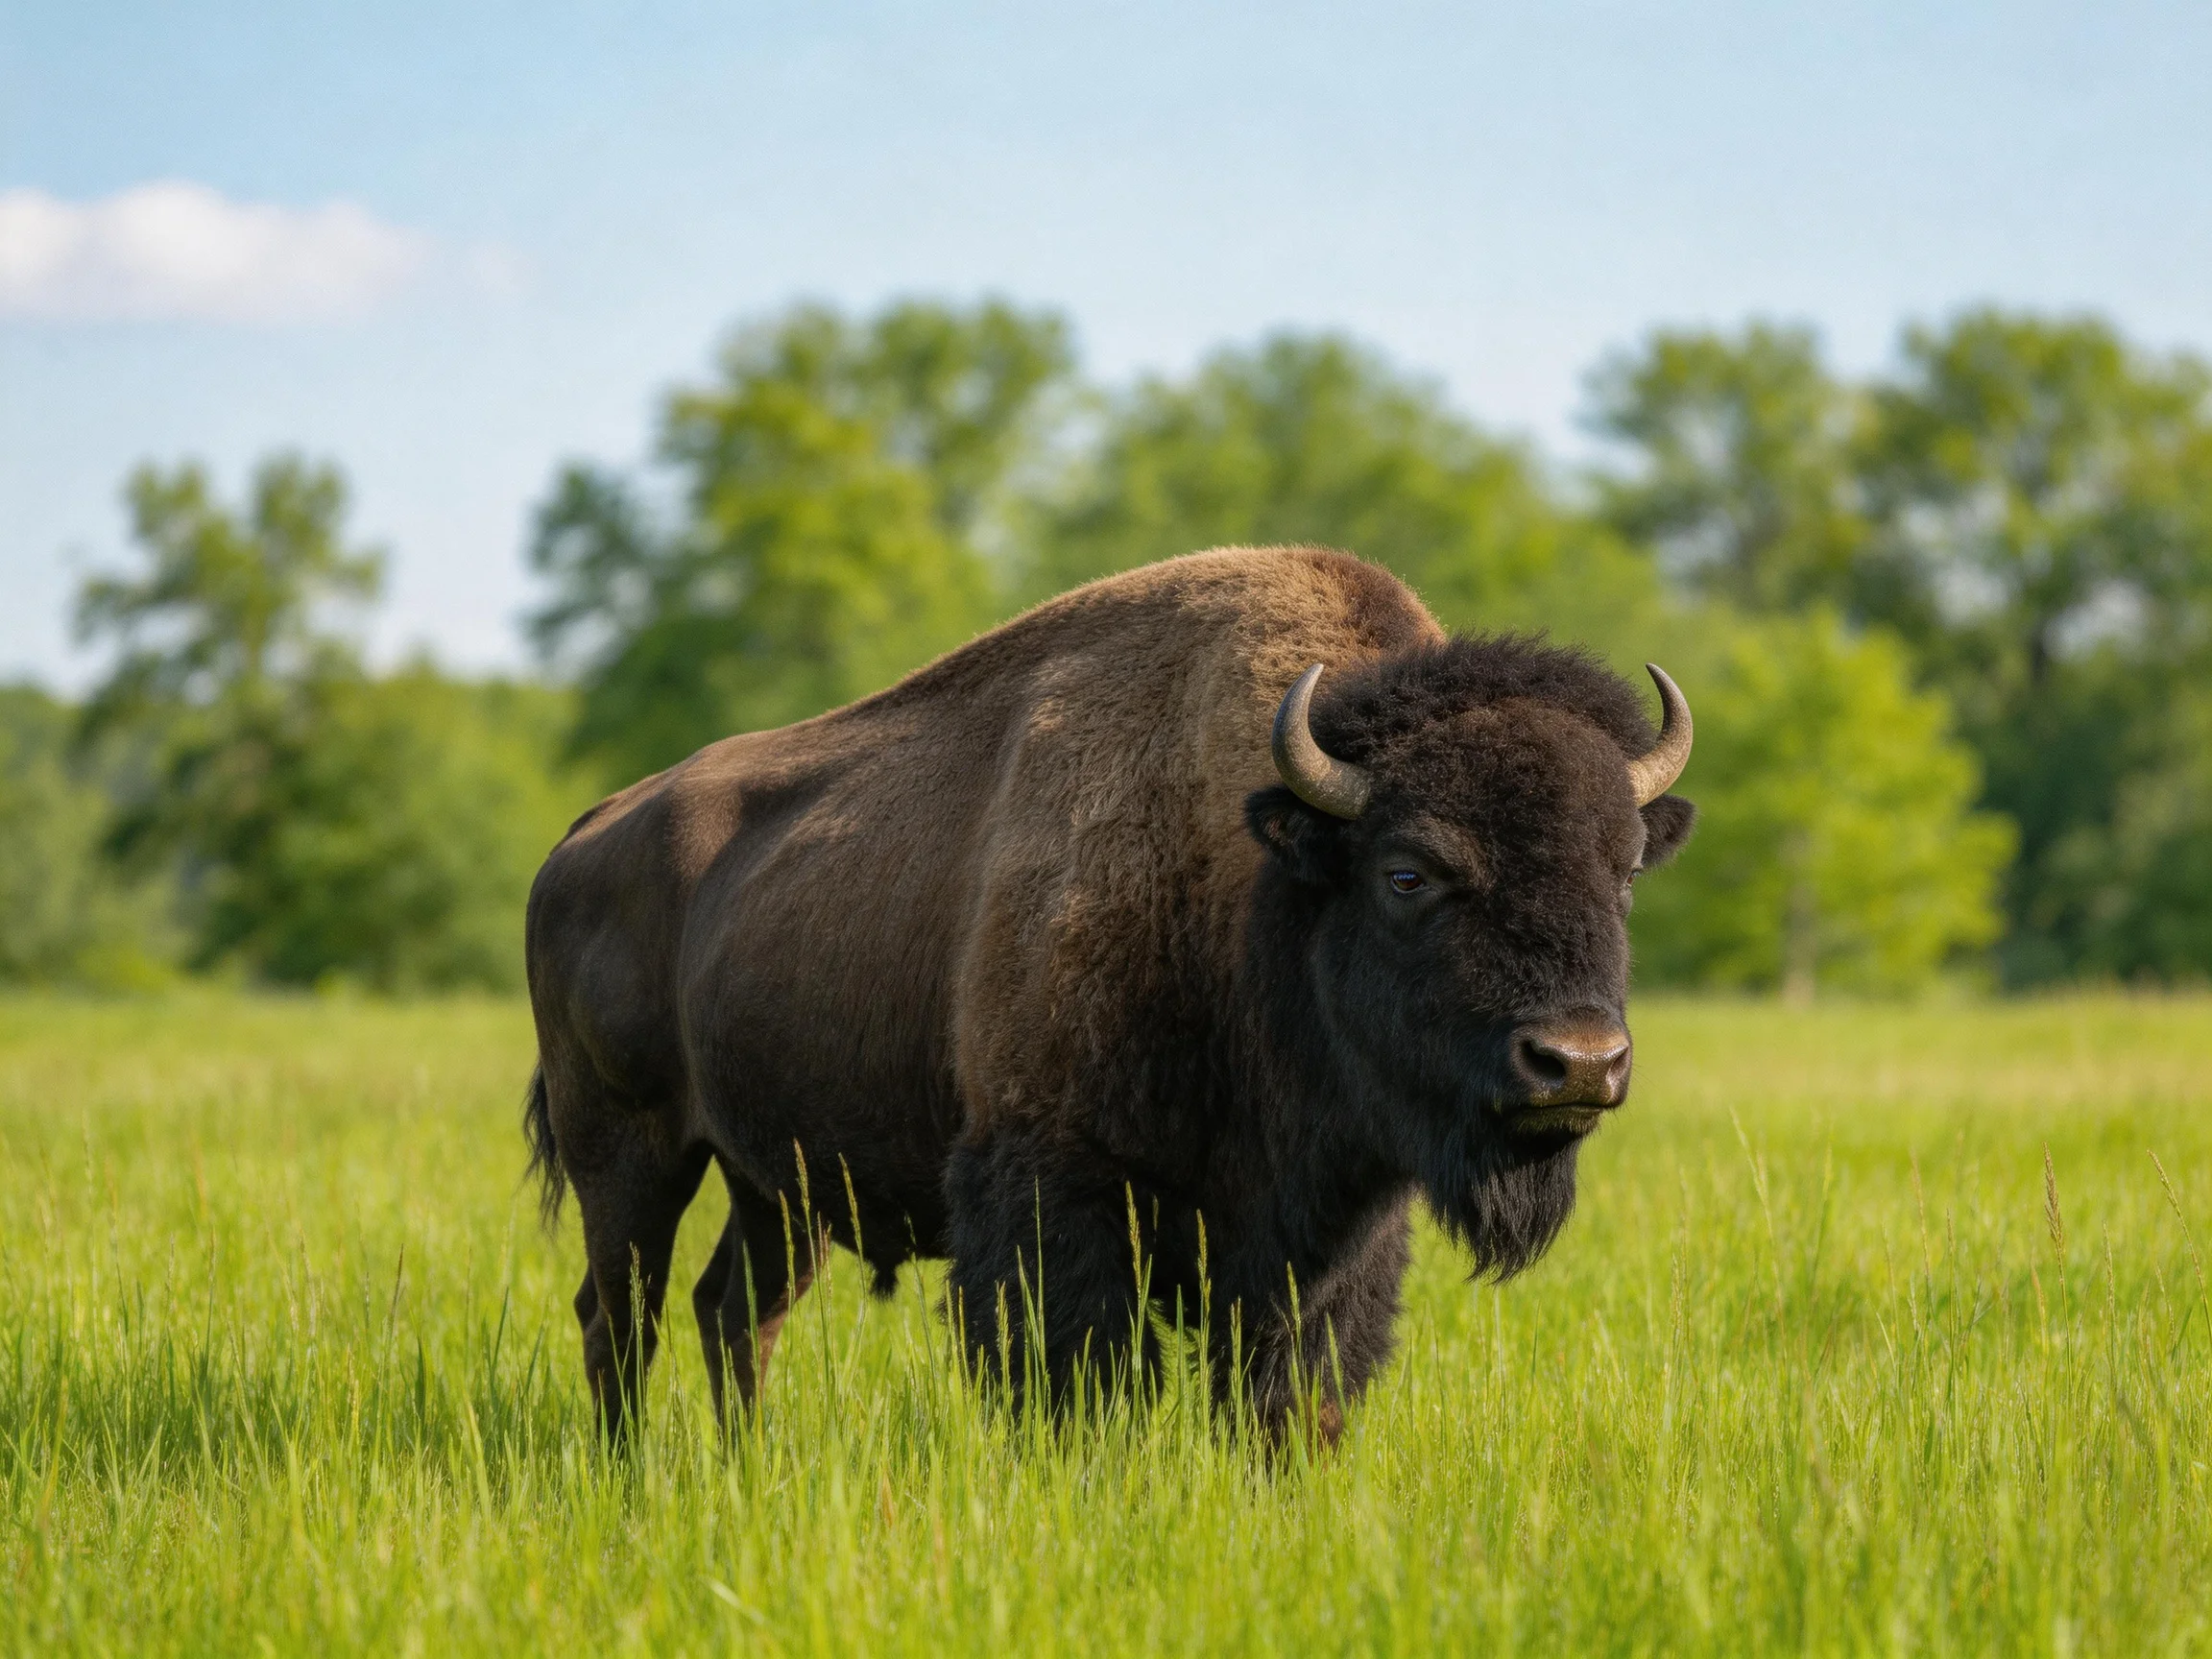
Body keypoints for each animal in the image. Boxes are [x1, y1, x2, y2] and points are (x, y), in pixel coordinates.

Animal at [523, 546, 1694, 1438]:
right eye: (1408, 873)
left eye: (1625, 870)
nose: (1578, 1062)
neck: (1251, 872)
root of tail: (581, 837)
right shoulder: (1058, 1187)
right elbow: (1083, 1381)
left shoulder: (1326, 1236)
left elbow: (1287, 1394)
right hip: (628, 1149)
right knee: (618, 1312)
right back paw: (632, 1472)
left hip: (783, 1185)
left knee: (732, 1312)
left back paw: (746, 1463)